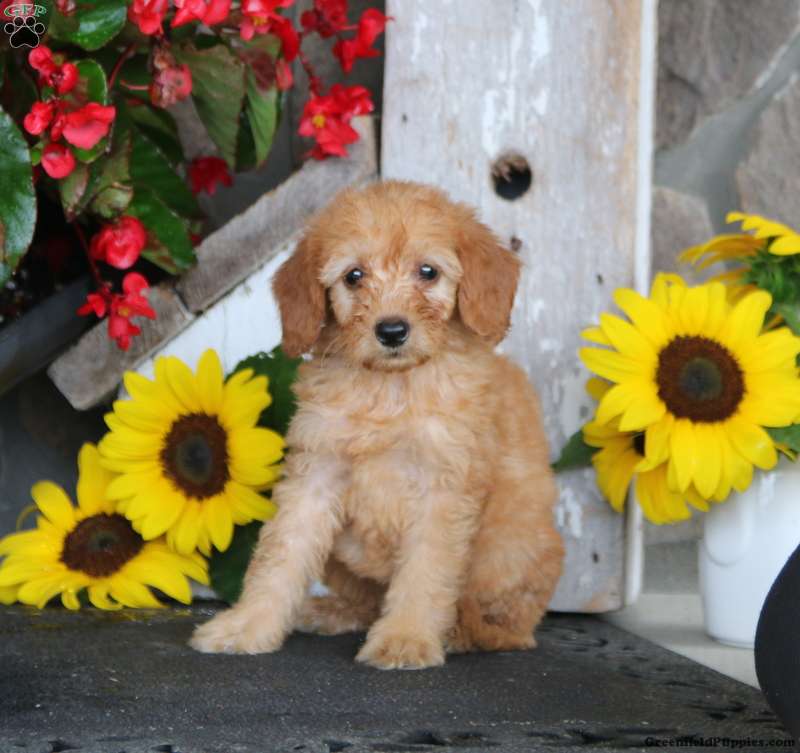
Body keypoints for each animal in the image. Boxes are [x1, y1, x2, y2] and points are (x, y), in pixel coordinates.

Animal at [189, 179, 564, 668]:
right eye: (354, 276)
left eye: (428, 272)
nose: (391, 331)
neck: (390, 388)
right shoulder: (315, 473)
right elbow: (281, 553)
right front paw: (247, 626)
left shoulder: (444, 486)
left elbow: (425, 570)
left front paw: (406, 638)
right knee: (365, 602)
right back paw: (329, 611)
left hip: (513, 547)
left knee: (511, 626)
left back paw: (463, 630)